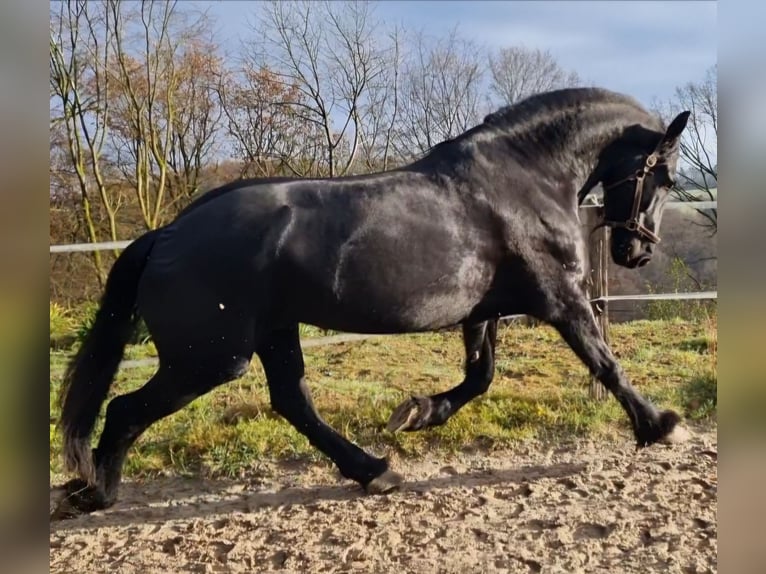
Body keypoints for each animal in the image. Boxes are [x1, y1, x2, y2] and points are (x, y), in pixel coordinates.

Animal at [53, 87, 691, 518]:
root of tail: (168, 233)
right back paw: (97, 492)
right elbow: (604, 363)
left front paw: (418, 412)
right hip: (210, 357)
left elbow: (479, 376)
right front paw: (661, 426)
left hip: (272, 332)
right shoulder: (560, 298)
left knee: (293, 402)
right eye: (665, 178)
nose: (638, 251)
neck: (522, 180)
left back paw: (374, 471)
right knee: (126, 410)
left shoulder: (483, 310)